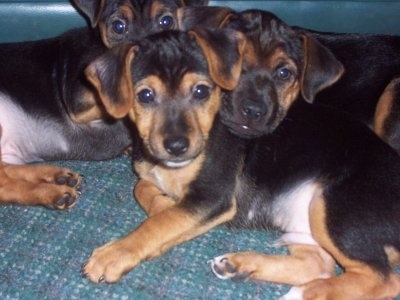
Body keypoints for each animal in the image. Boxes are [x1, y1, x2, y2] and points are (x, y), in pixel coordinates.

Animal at [0, 0, 206, 209]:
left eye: (166, 21)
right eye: (118, 26)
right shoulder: (77, 99)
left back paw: (56, 176)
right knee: (4, 184)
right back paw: (52, 192)